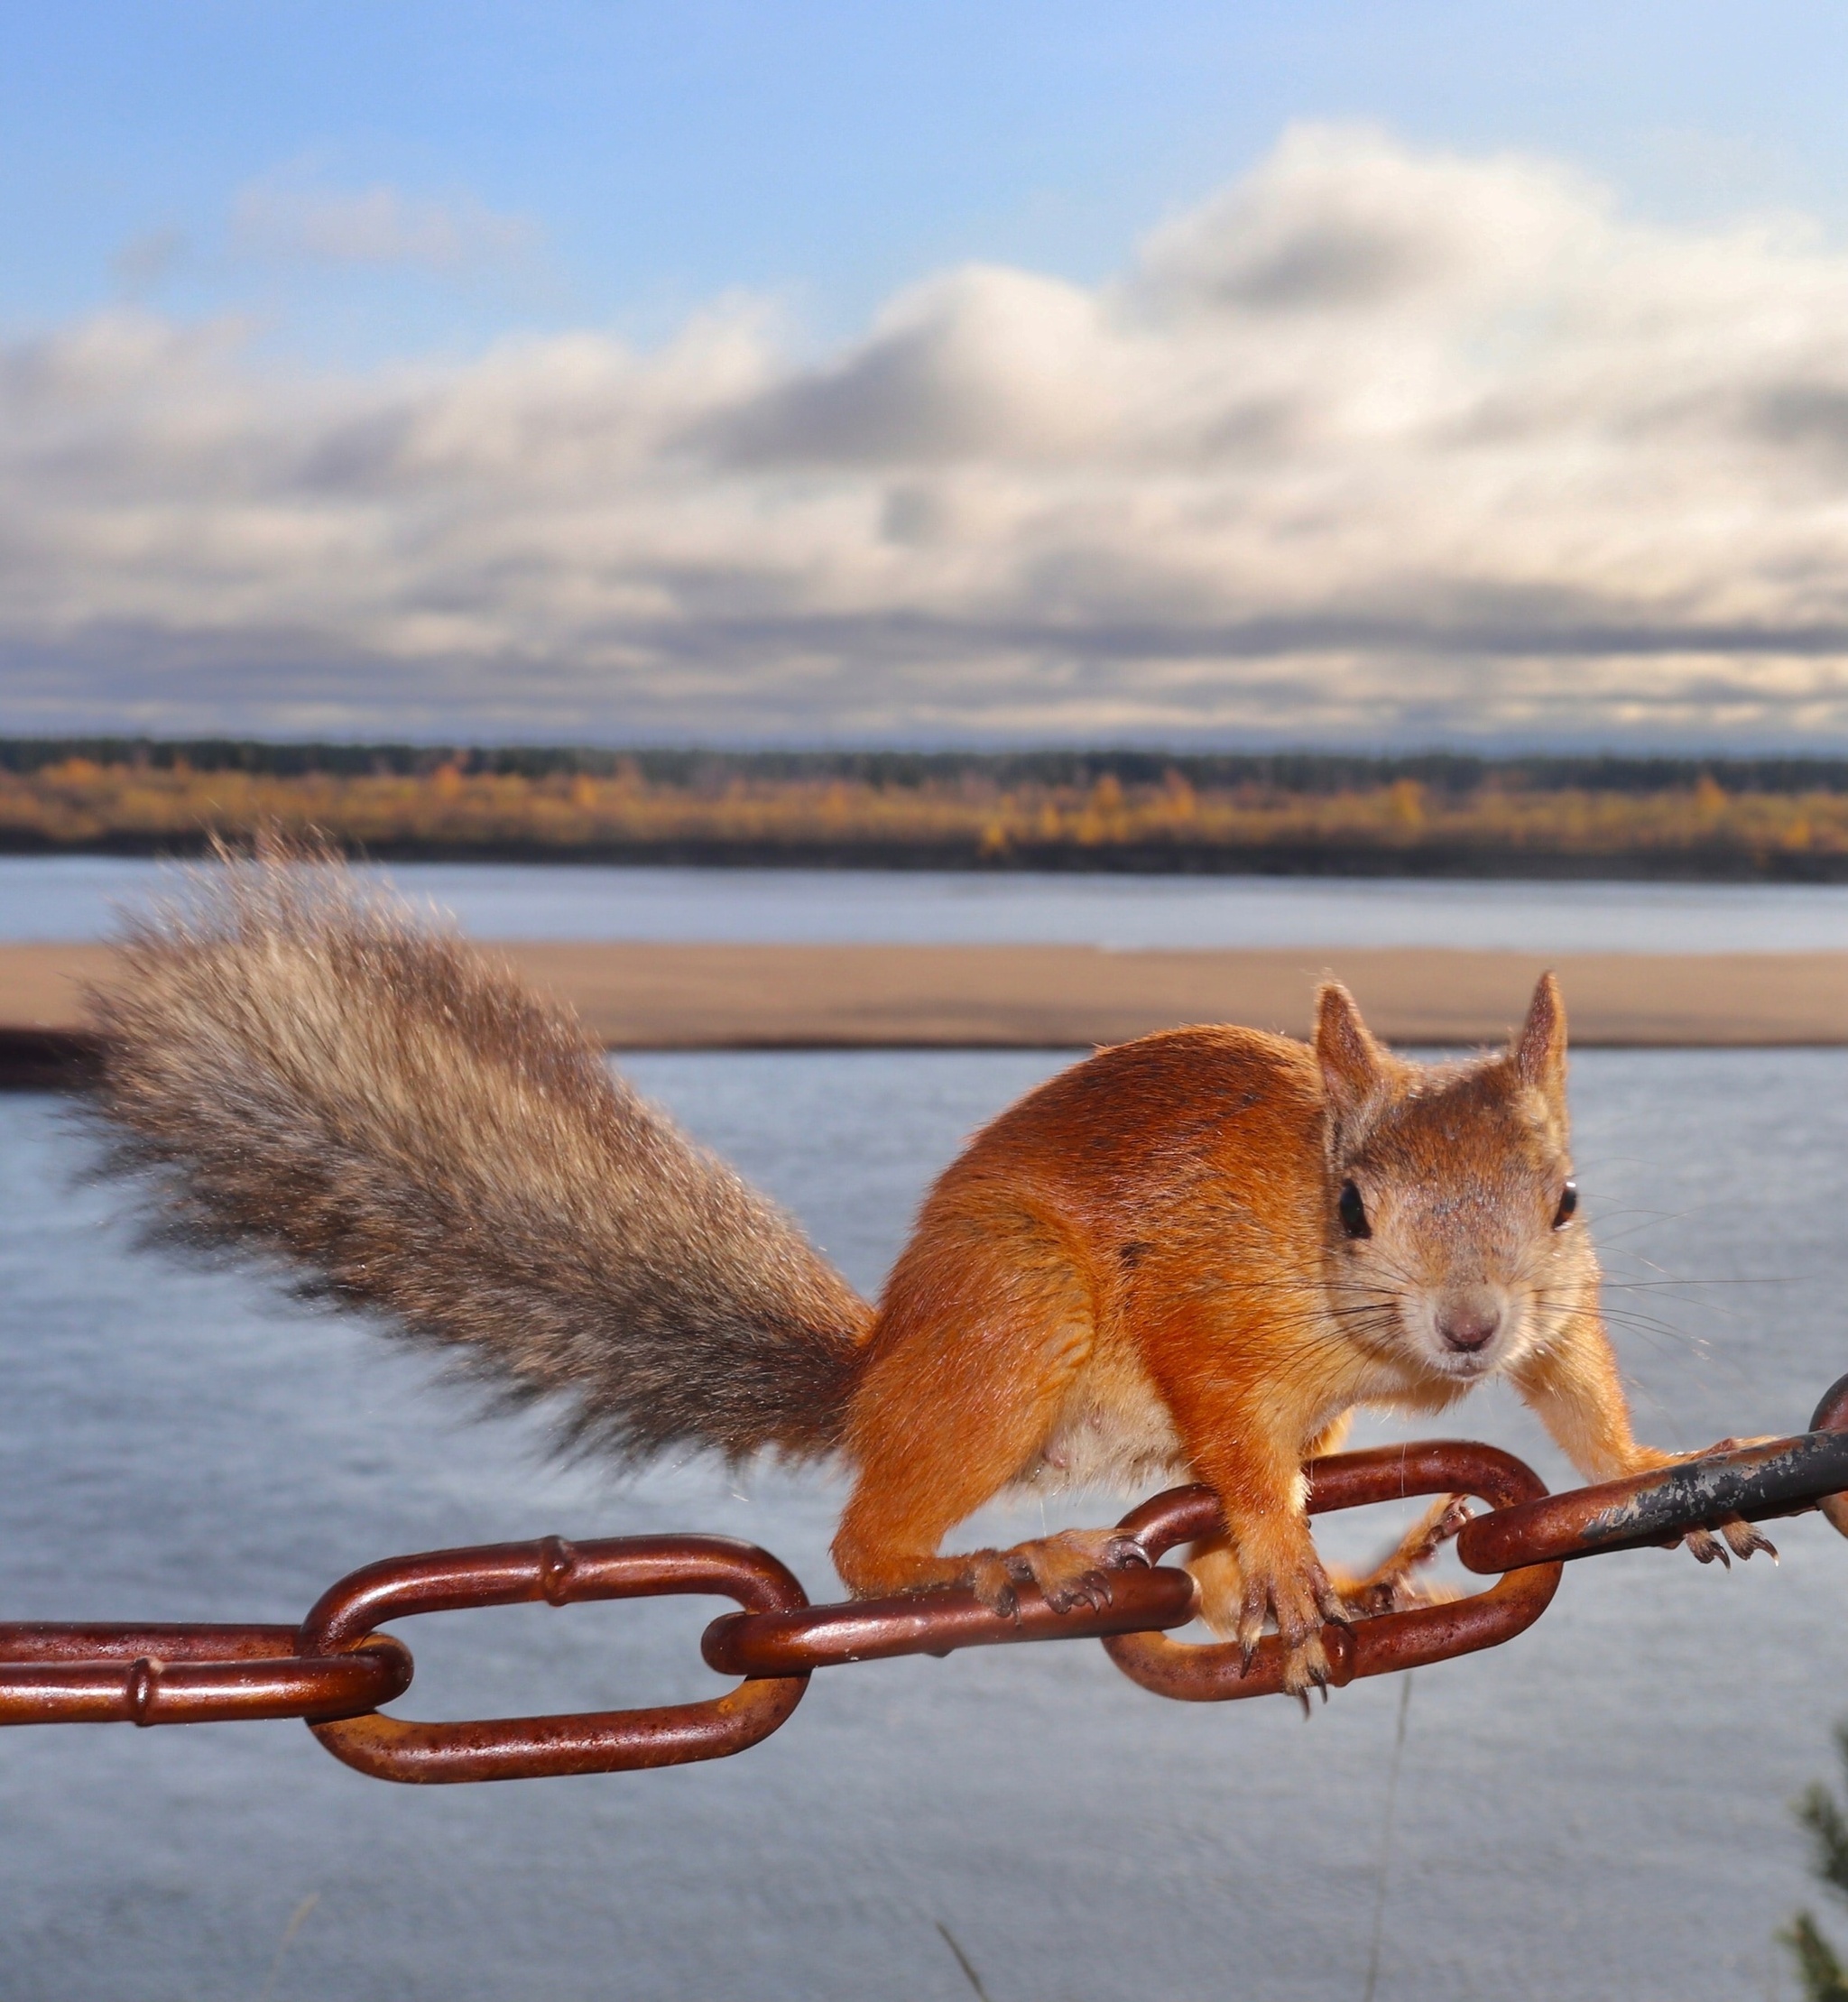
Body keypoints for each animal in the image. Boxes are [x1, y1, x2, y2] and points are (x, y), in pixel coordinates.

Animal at [89, 836, 1761, 1697]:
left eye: (1564, 1194)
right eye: (1351, 1208)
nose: (1467, 1322)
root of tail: (877, 1361)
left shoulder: (1554, 1311)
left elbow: (1579, 1391)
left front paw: (1660, 1469)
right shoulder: (1210, 1310)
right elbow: (1232, 1434)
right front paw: (1288, 1552)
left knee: (1198, 1551)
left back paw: (1346, 1566)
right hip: (1012, 1324)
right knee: (864, 1540)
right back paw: (1009, 1562)